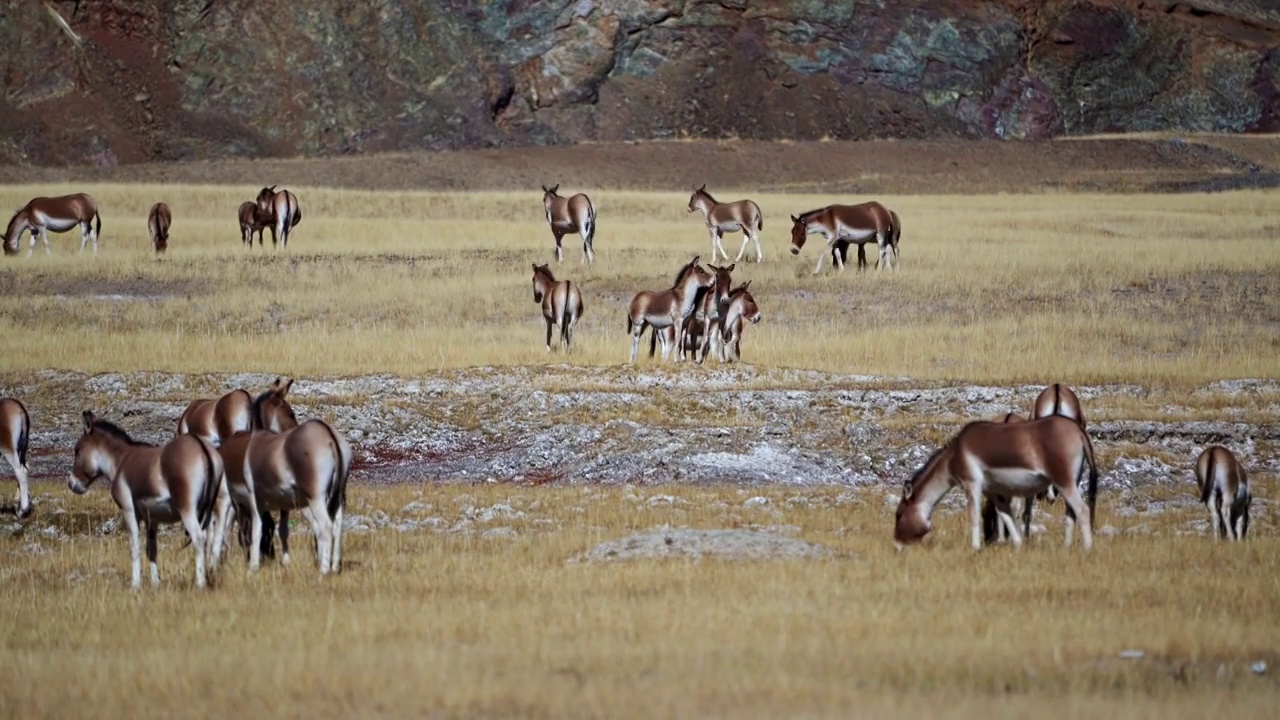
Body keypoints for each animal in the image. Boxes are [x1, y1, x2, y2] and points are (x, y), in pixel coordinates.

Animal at [69, 412, 222, 586]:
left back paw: (200, 583)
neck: (121, 460)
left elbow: (134, 547)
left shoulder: (128, 511)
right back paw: (209, 576)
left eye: (77, 449)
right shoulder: (152, 518)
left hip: (187, 510)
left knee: (198, 538)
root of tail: (201, 448)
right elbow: (152, 549)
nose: (71, 484)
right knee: (209, 539)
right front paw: (155, 583)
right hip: (208, 510)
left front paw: (135, 585)